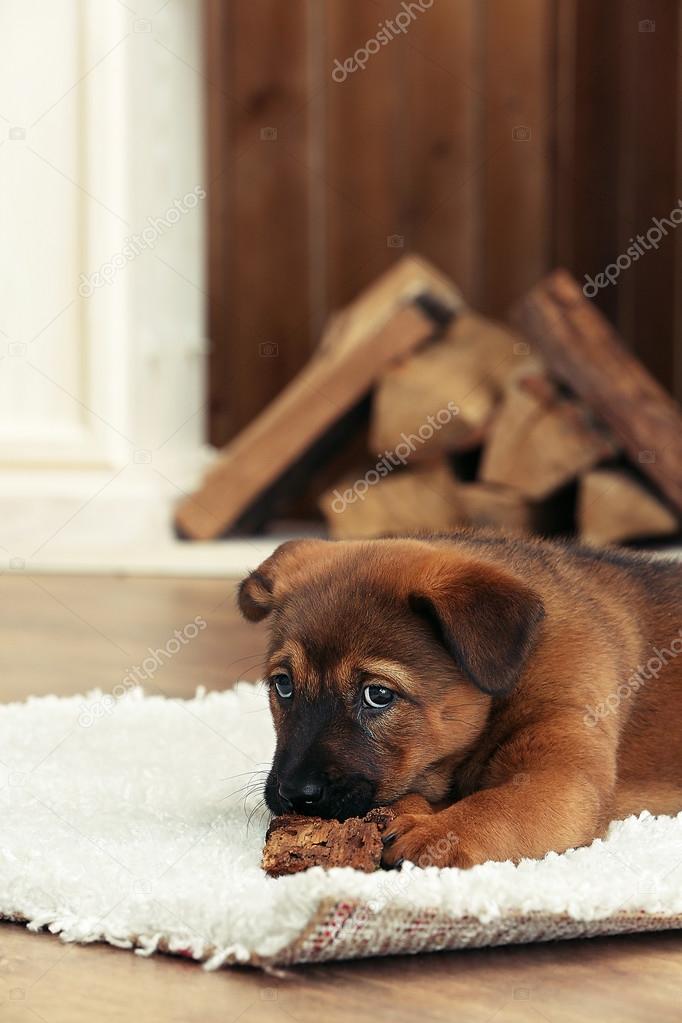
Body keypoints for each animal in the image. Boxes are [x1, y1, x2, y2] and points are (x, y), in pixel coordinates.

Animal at [239, 531, 682, 867]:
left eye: (377, 694)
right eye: (283, 685)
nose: (295, 795)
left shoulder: (562, 778)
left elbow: (496, 807)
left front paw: (437, 833)